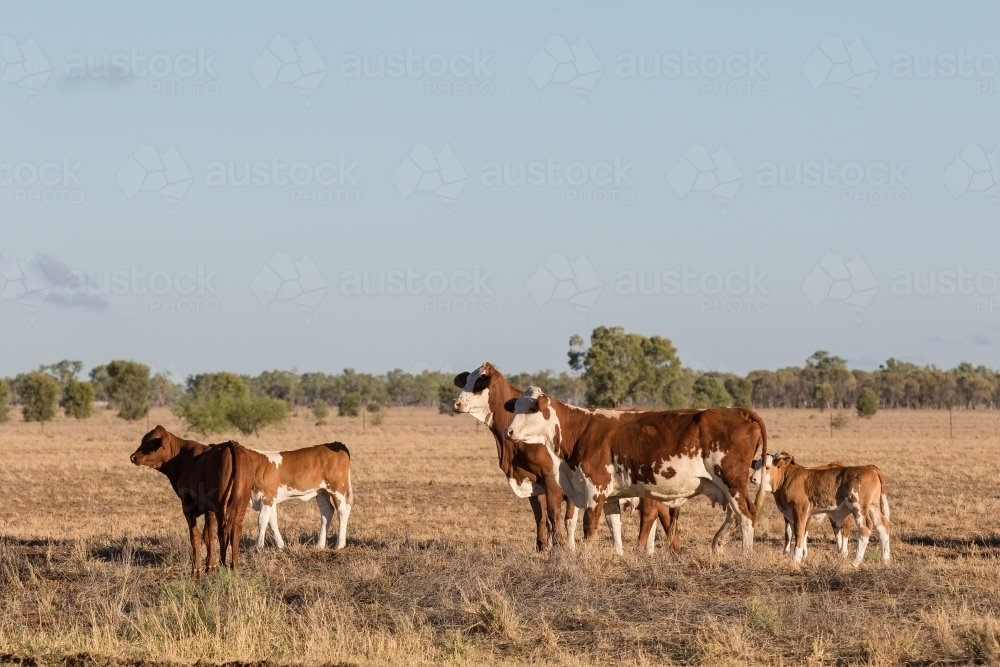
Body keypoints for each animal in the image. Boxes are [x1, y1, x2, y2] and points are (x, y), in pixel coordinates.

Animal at [130, 426, 254, 578]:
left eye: (153, 442)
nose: (134, 456)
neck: (182, 458)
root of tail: (231, 445)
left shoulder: (188, 507)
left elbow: (195, 537)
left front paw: (196, 570)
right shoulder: (209, 510)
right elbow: (208, 535)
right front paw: (210, 566)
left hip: (222, 507)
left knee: (223, 533)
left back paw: (225, 566)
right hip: (240, 506)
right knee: (235, 532)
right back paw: (234, 567)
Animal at [504, 387, 768, 553]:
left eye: (532, 409)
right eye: (515, 407)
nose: (509, 431)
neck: (580, 431)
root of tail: (740, 411)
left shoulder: (595, 490)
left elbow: (589, 528)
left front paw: (584, 557)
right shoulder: (610, 496)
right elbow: (614, 526)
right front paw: (619, 555)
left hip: (732, 481)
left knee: (746, 514)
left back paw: (746, 554)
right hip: (727, 485)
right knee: (737, 513)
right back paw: (726, 544)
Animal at [751, 452, 890, 566]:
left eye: (767, 467)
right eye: (755, 466)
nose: (753, 478)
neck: (788, 477)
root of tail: (870, 468)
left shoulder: (800, 510)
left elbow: (799, 532)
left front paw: (796, 558)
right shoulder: (790, 514)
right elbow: (792, 533)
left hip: (858, 507)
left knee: (865, 528)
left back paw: (856, 561)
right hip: (873, 507)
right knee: (882, 527)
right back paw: (885, 560)